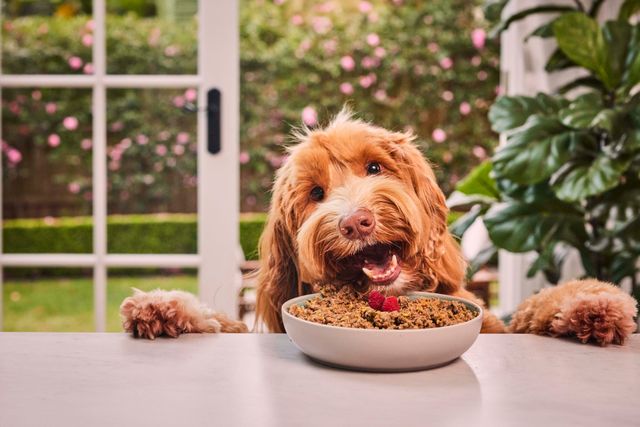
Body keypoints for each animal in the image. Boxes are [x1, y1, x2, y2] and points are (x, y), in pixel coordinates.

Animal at [119, 108, 636, 346]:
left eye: (374, 168)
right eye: (315, 194)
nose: (356, 221)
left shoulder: (496, 328)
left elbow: (531, 310)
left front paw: (591, 302)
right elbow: (223, 323)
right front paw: (162, 306)